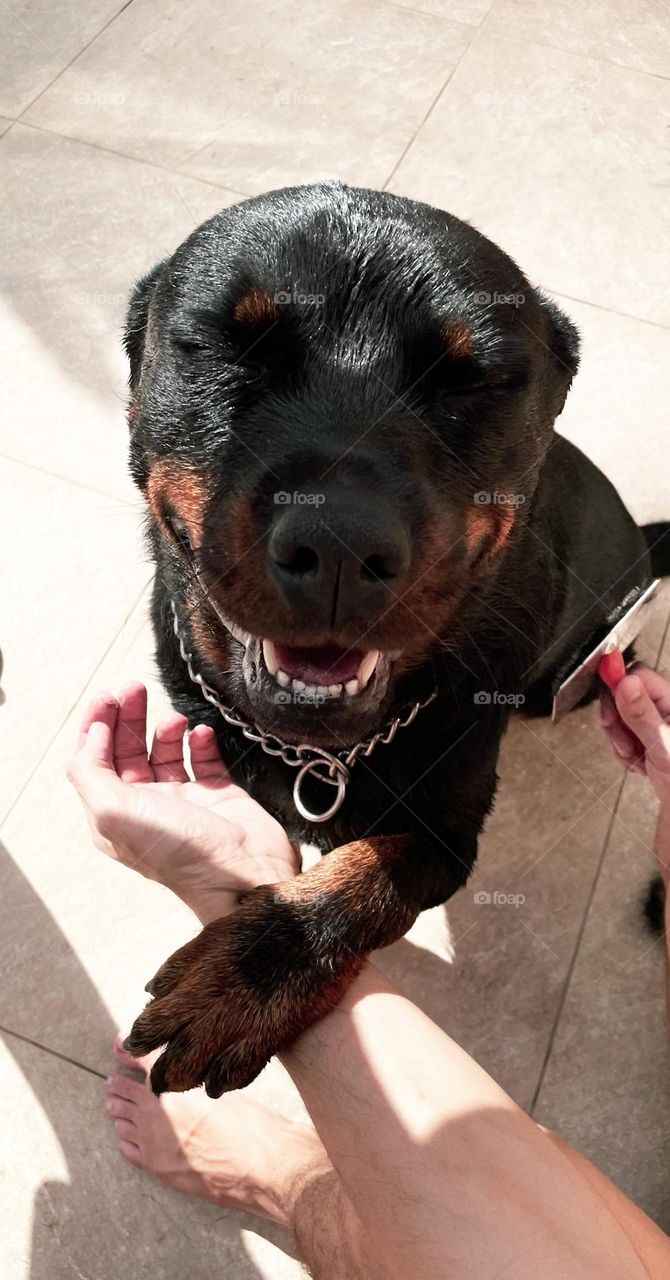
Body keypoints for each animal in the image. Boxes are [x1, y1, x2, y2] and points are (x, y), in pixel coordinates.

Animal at [120, 183, 661, 1100]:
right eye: (224, 344)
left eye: (474, 380)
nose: (338, 544)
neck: (322, 754)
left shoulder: (450, 834)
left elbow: (369, 871)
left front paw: (249, 973)